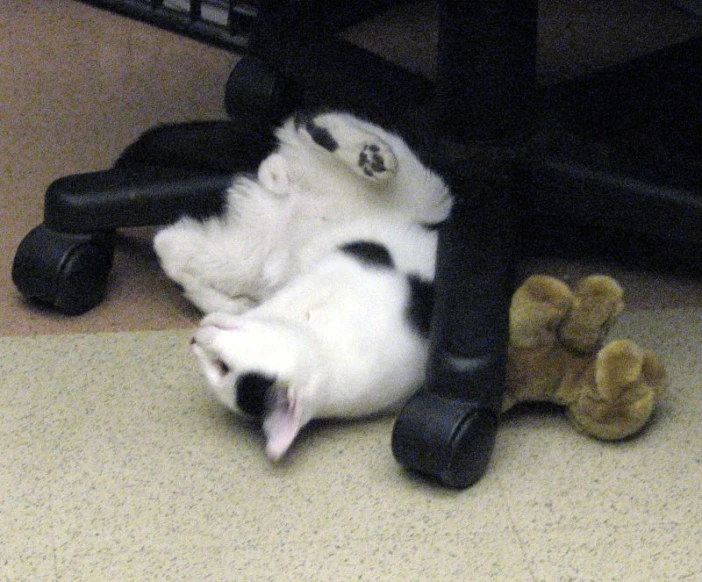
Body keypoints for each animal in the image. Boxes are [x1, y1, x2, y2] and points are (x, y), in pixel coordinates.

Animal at [155, 112, 454, 464]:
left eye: (221, 368)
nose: (195, 339)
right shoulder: (332, 274)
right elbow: (280, 301)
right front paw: (239, 311)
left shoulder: (341, 272)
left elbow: (283, 300)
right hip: (246, 255)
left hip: (414, 194)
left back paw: (365, 154)